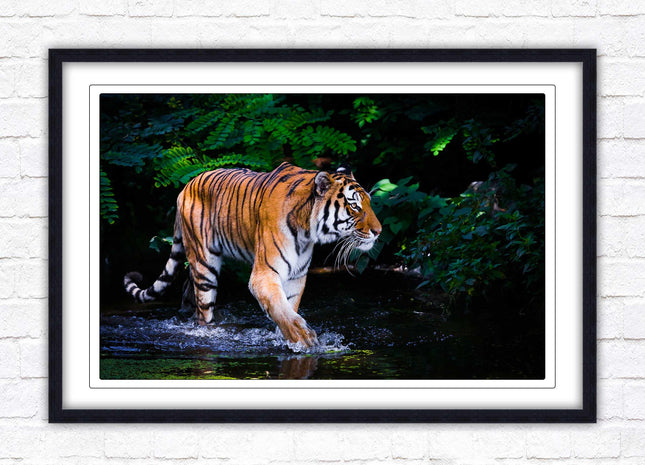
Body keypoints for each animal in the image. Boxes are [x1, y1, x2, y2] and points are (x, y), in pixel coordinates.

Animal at [123, 162, 382, 348]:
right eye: (355, 206)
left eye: (369, 203)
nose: (378, 231)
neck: (307, 230)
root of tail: (185, 187)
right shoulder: (264, 274)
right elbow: (280, 308)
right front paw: (302, 337)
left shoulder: (296, 277)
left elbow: (288, 307)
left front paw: (286, 338)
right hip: (204, 264)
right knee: (203, 310)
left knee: (189, 293)